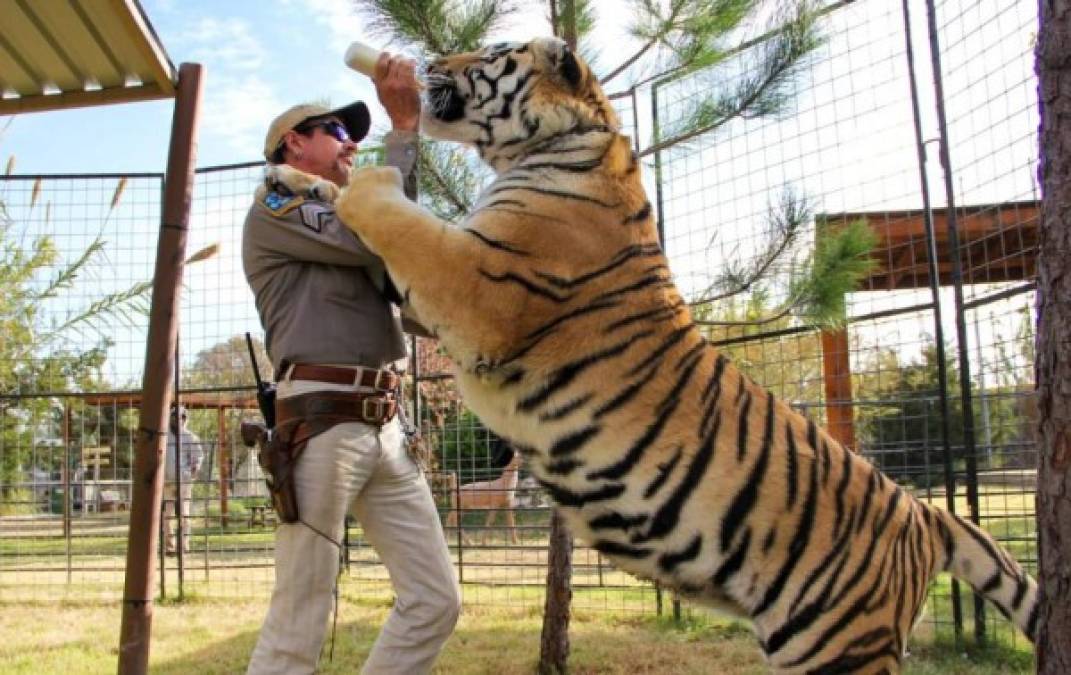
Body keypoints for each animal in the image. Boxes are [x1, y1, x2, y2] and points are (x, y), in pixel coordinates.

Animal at [274, 38, 1036, 675]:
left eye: (489, 53)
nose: (427, 61)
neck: (560, 146)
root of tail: (922, 512)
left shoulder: (474, 284)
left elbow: (393, 213)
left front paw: (348, 178)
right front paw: (294, 177)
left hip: (837, 644)